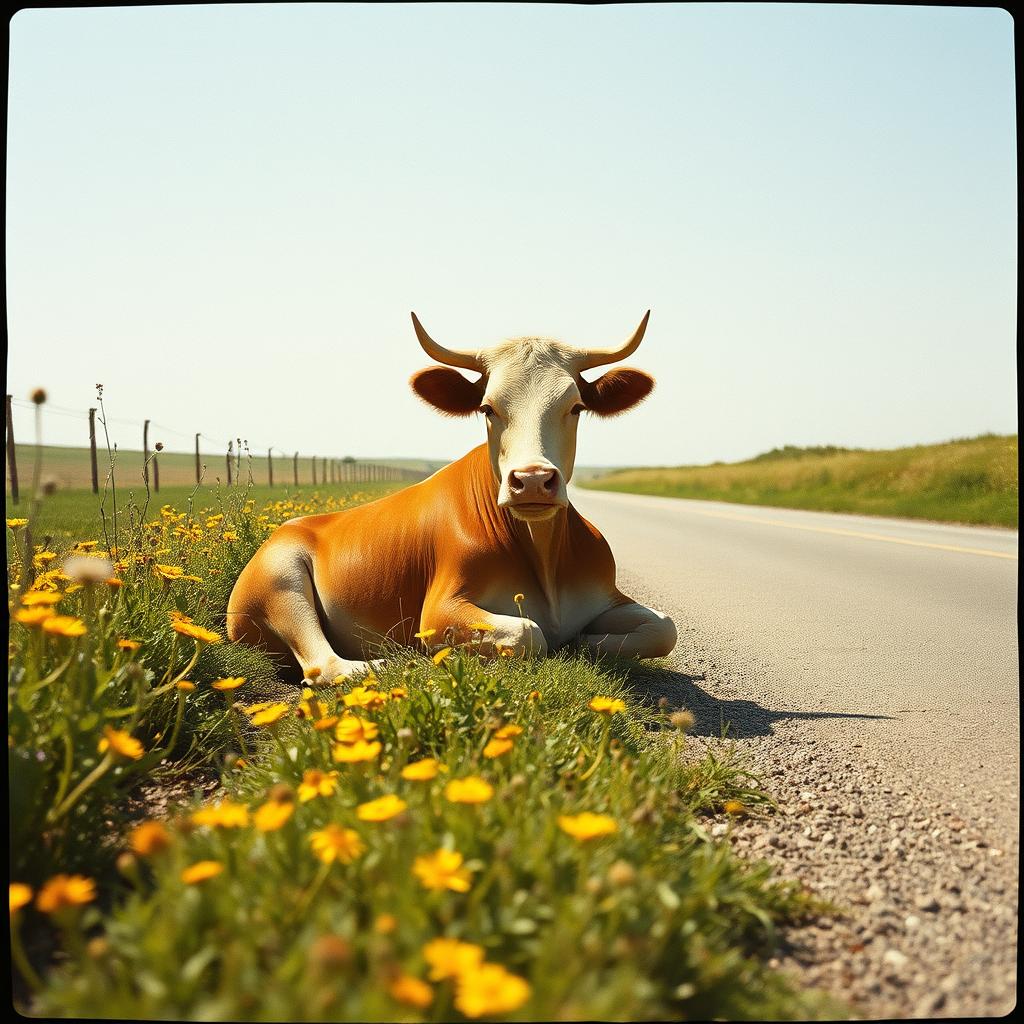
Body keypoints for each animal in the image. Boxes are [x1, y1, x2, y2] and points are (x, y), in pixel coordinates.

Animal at [226, 312, 677, 682]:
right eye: (487, 408)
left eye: (577, 406)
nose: (532, 481)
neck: (543, 555)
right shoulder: (443, 606)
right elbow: (529, 633)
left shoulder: (606, 594)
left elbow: (665, 627)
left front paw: (583, 639)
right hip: (280, 579)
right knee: (324, 664)